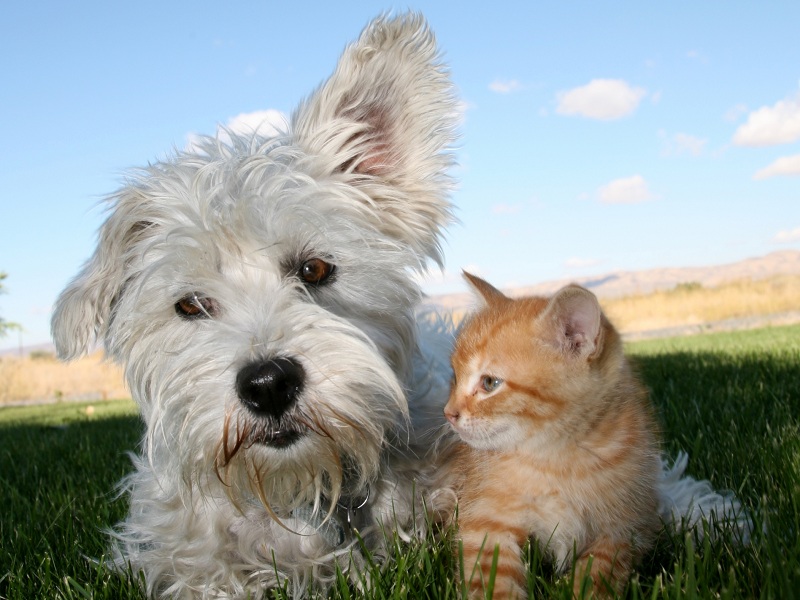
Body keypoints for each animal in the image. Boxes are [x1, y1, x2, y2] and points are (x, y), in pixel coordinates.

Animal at [444, 274, 664, 596]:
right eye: (455, 377)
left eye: (489, 383)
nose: (448, 413)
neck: (557, 459)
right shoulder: (484, 524)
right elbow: (495, 584)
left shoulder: (629, 526)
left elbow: (599, 572)